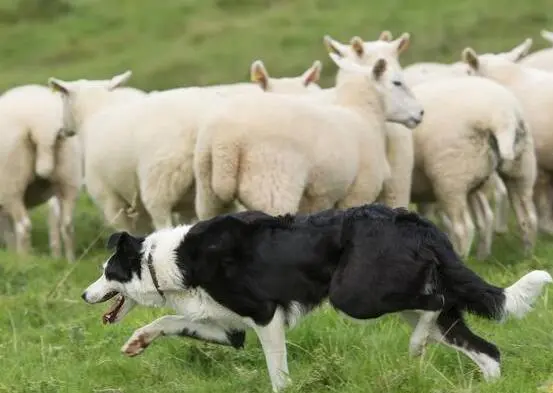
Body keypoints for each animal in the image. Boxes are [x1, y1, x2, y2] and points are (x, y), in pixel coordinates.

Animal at [48, 60, 324, 233]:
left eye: (62, 97)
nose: (61, 130)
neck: (95, 112)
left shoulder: (109, 197)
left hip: (159, 179)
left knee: (162, 222)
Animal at [81, 204, 548, 390]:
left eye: (106, 272)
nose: (85, 295)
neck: (167, 260)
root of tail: (413, 219)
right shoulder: (231, 328)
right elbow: (166, 322)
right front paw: (137, 341)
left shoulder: (265, 316)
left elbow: (278, 373)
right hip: (413, 303)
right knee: (487, 351)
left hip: (355, 296)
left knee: (431, 309)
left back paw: (416, 346)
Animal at [194, 51, 422, 220]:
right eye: (397, 83)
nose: (420, 113)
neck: (362, 114)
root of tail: (225, 139)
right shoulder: (359, 191)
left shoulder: (315, 200)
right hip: (271, 187)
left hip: (208, 193)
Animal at [408, 76, 532, 258]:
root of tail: (501, 115)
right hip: (520, 167)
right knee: (527, 215)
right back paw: (525, 254)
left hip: (451, 178)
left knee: (463, 228)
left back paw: (463, 258)